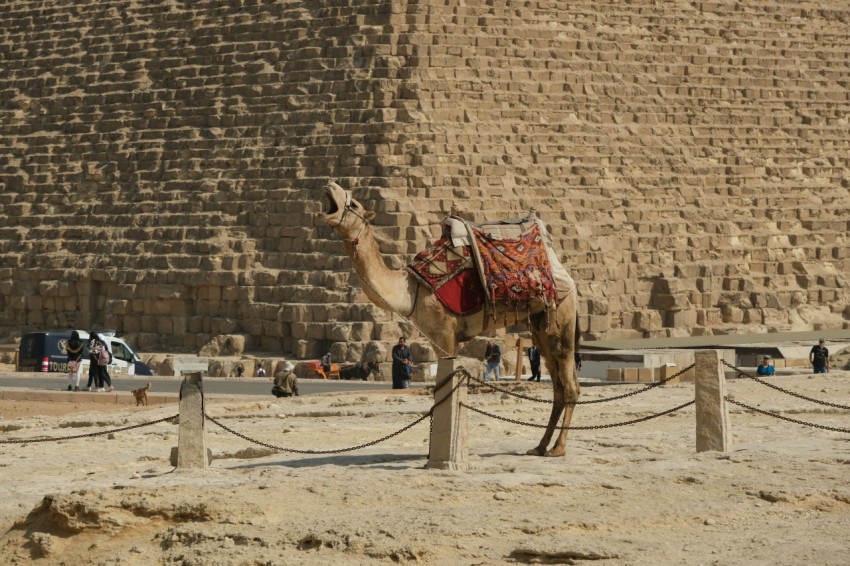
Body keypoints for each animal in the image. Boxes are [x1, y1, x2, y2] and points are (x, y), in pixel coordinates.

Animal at [322, 184, 580, 460]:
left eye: (354, 204)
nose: (331, 185)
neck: (409, 292)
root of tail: (567, 277)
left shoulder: (445, 334)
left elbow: (444, 386)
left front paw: (440, 452)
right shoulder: (438, 338)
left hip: (562, 317)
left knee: (570, 384)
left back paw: (558, 448)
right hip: (541, 327)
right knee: (557, 385)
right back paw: (540, 446)